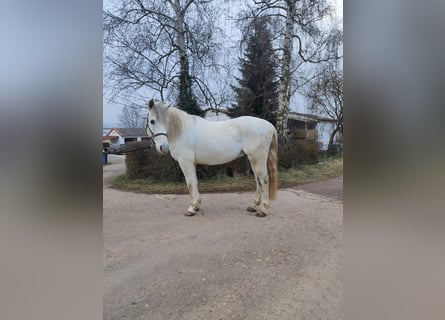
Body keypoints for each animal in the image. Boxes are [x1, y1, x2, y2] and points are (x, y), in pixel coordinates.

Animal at [147, 99, 276, 216]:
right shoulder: (192, 163)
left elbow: (190, 183)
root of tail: (269, 125)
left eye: (167, 121)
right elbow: (195, 182)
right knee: (258, 180)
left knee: (264, 180)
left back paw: (263, 210)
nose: (163, 147)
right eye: (152, 121)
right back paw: (253, 206)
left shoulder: (185, 163)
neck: (181, 131)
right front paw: (197, 205)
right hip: (252, 159)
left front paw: (191, 208)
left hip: (257, 158)